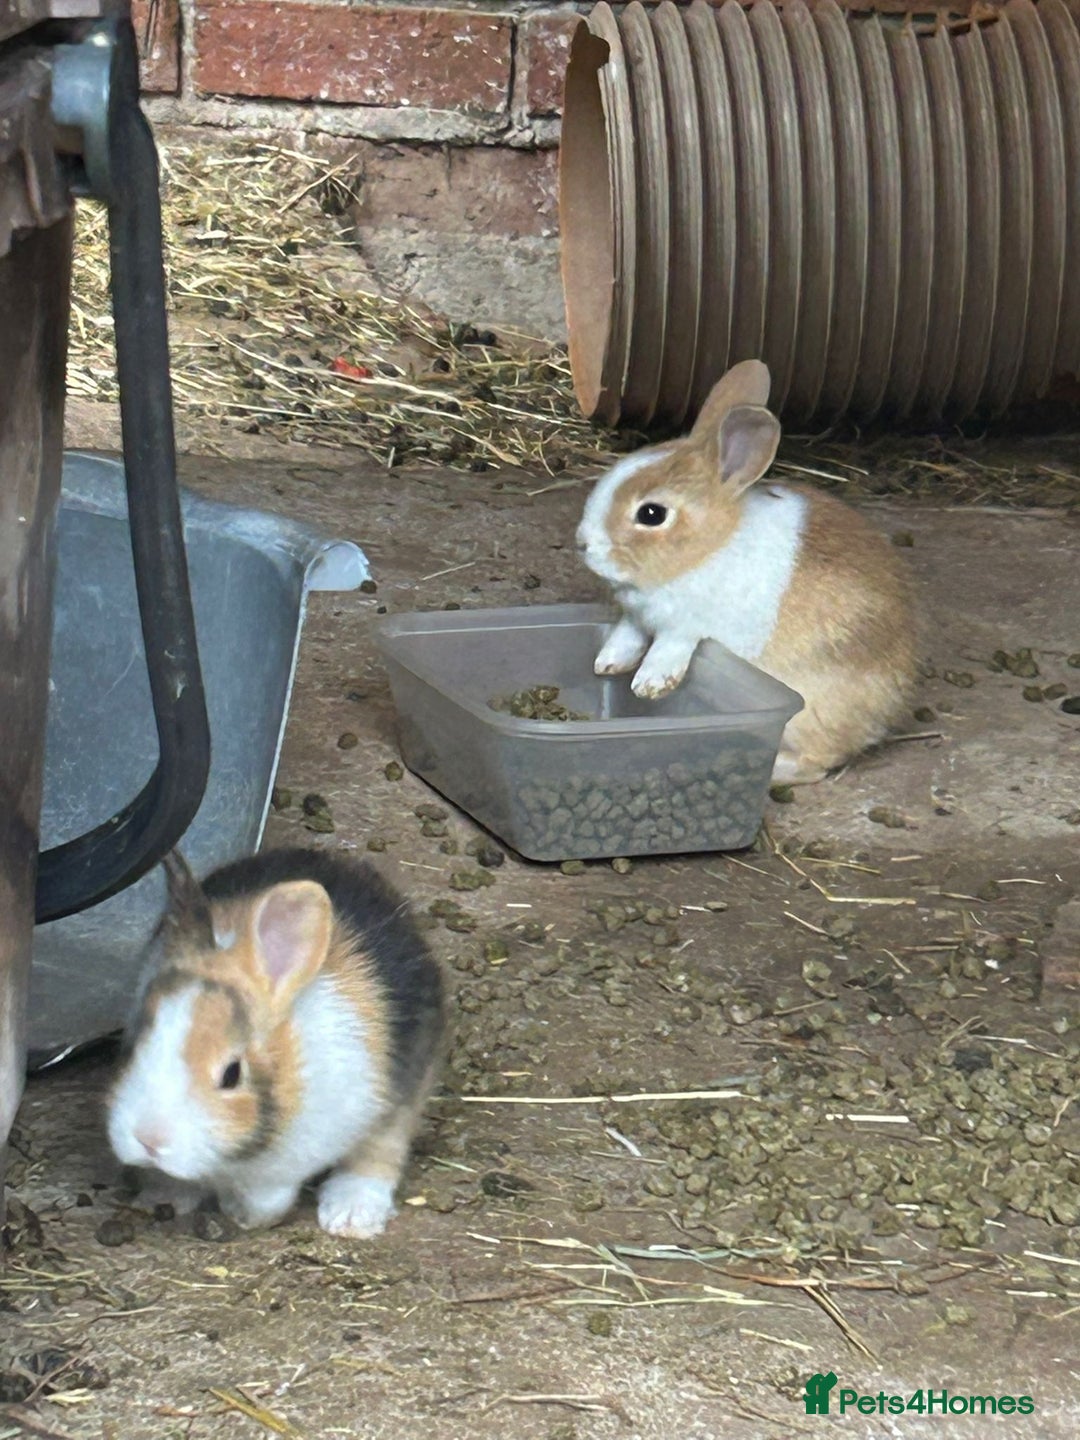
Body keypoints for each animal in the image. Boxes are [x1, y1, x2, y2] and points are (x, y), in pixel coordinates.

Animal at [107, 846, 446, 1239]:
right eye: (133, 1045)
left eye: (232, 1075)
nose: (149, 1140)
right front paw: (159, 1198)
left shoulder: (286, 1166)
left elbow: (268, 1197)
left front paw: (244, 1215)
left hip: (403, 1088)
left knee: (381, 1149)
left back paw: (351, 1217)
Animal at [575, 359, 918, 784]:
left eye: (651, 514)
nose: (583, 543)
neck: (709, 546)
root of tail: (894, 702)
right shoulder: (636, 619)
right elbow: (626, 637)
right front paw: (606, 664)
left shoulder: (684, 628)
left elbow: (667, 650)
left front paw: (648, 686)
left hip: (809, 713)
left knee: (818, 763)